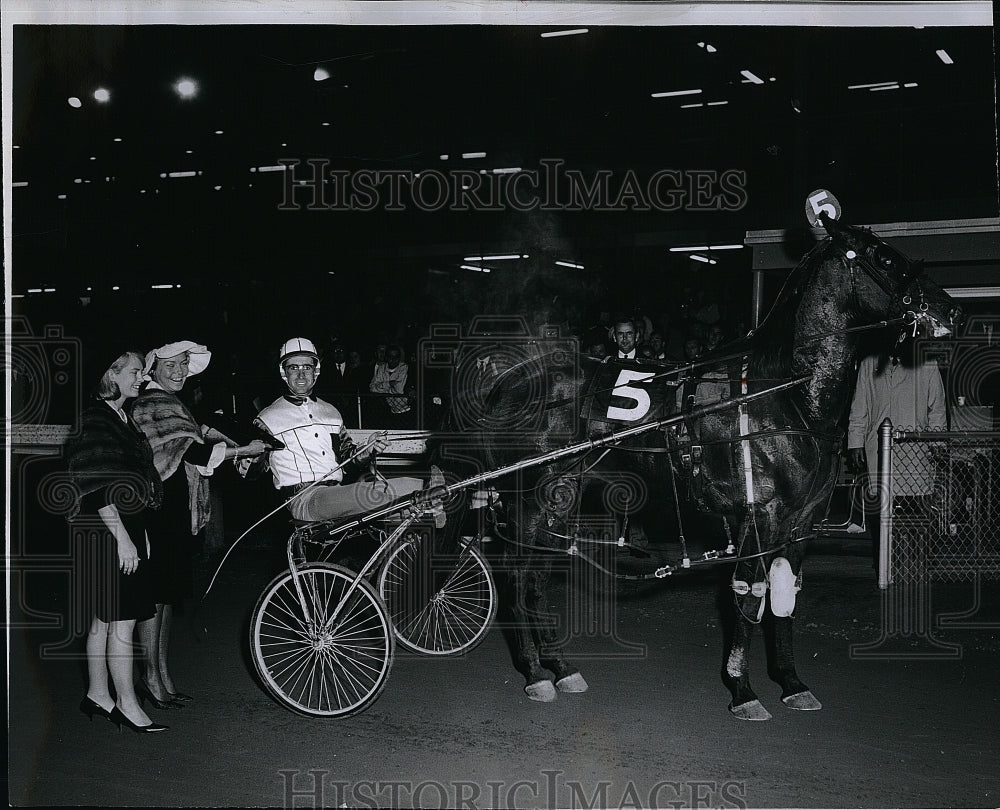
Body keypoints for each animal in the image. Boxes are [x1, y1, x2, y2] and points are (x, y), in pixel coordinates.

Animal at [448, 213, 960, 712]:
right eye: (882, 256)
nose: (950, 308)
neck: (786, 394)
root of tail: (510, 380)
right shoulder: (761, 518)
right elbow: (749, 597)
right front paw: (743, 689)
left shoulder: (801, 525)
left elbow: (785, 598)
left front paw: (792, 682)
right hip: (528, 497)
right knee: (518, 575)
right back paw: (536, 672)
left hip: (560, 495)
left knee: (535, 577)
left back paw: (561, 666)